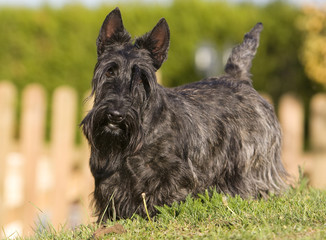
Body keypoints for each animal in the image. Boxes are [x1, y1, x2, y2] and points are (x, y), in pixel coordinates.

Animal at [81, 7, 288, 221]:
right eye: (109, 71)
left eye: (141, 79)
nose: (116, 115)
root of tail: (240, 78)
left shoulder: (175, 178)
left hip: (255, 163)